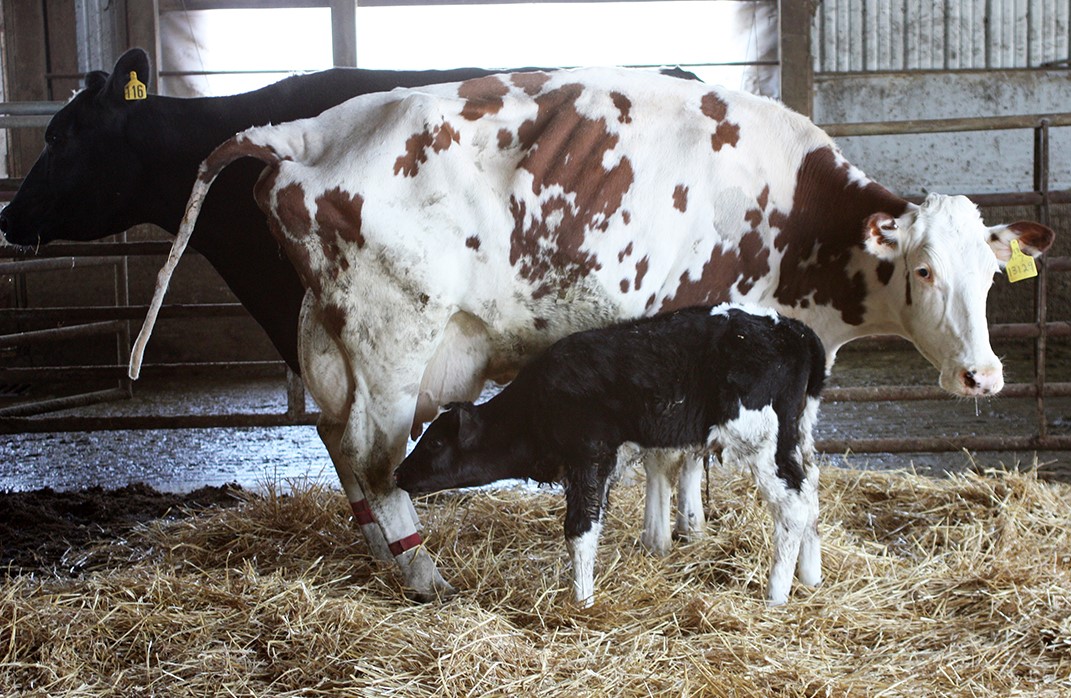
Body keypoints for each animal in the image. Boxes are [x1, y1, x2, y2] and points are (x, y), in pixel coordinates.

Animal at [394, 306, 826, 603]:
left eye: (434, 443)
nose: (398, 474)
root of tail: (792, 328)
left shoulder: (588, 455)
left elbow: (579, 529)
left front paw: (582, 600)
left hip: (762, 440)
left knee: (792, 505)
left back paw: (776, 594)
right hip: (797, 435)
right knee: (811, 491)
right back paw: (811, 576)